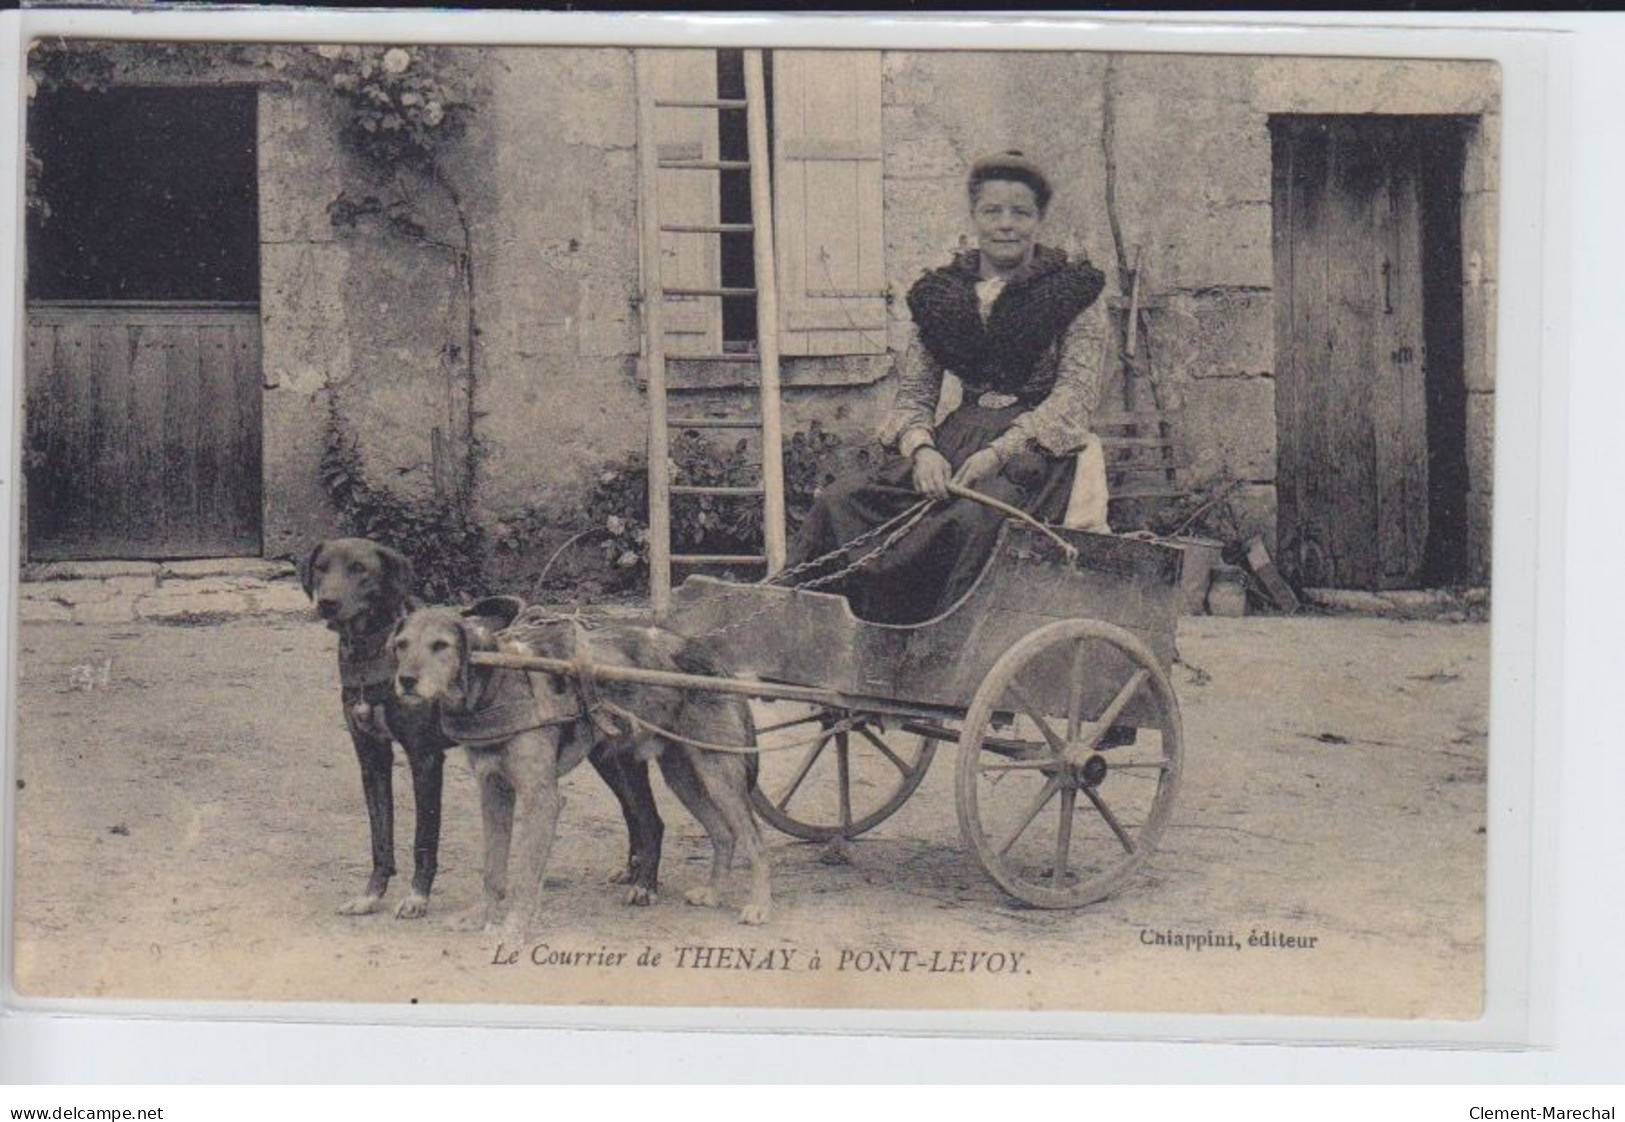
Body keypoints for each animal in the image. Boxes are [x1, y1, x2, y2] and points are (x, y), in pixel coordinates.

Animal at [297, 536, 451, 917]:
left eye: (359, 568)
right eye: (321, 567)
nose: (327, 603)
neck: (370, 654)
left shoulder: (425, 759)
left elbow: (424, 839)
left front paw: (417, 896)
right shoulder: (372, 759)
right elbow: (380, 837)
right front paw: (371, 895)